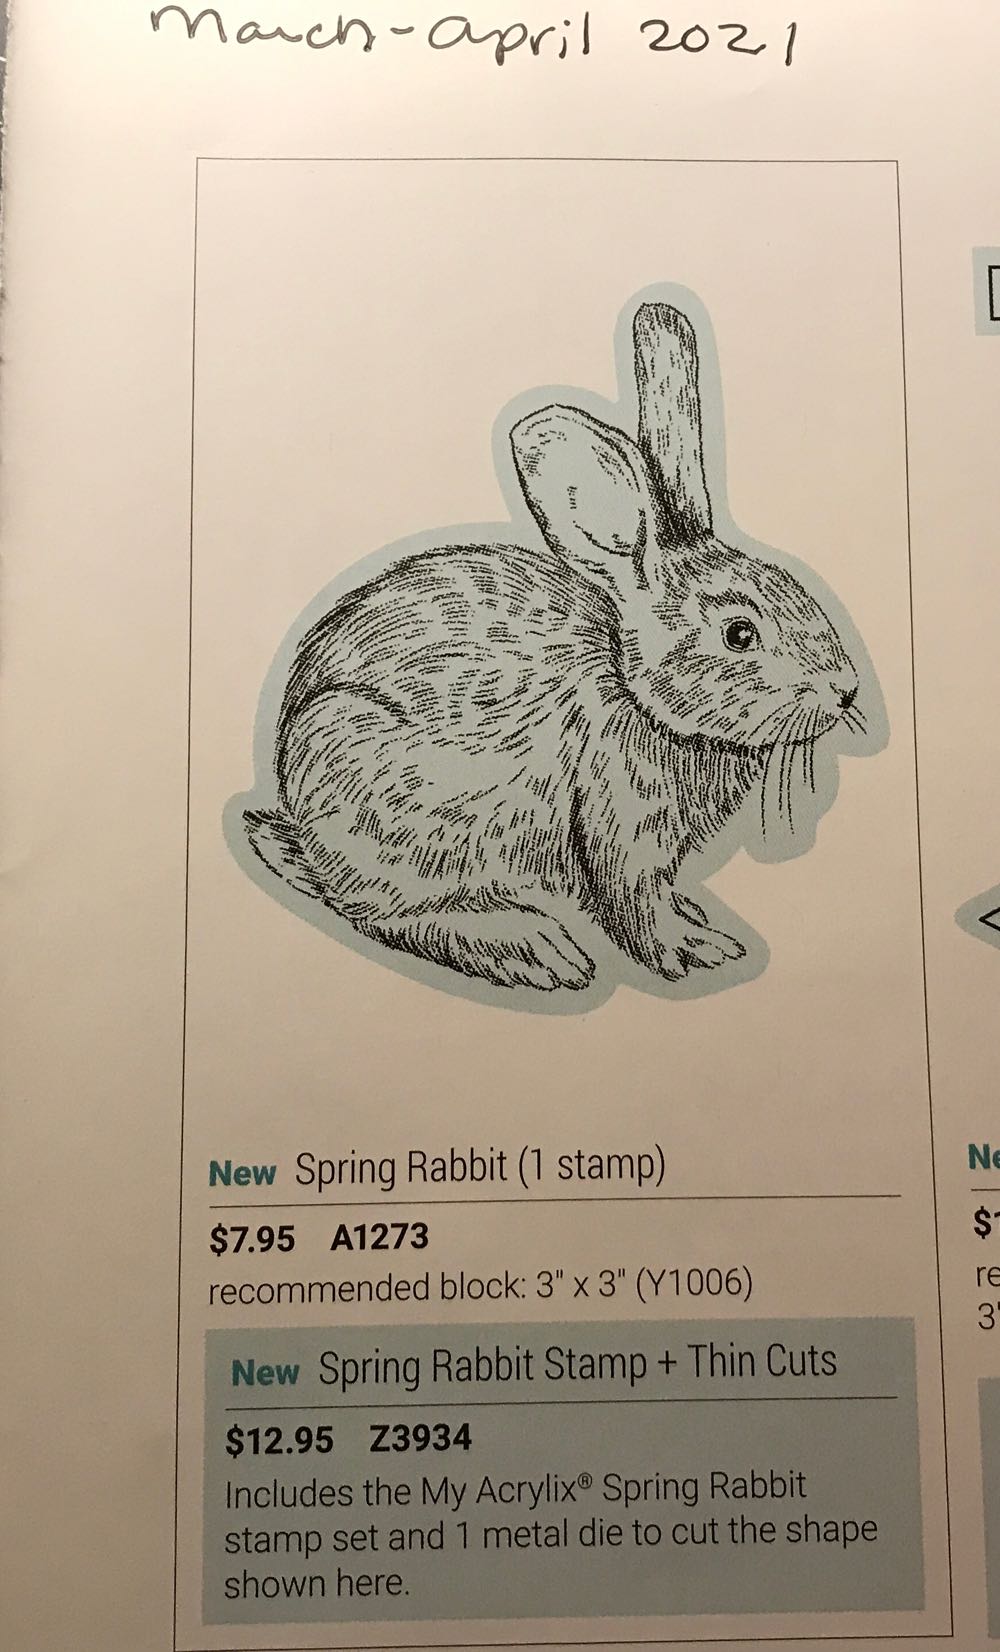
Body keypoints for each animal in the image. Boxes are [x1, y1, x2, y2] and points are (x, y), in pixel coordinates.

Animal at [243, 300, 862, 992]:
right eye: (740, 633)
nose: (846, 689)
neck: (636, 692)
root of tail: (297, 823)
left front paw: (696, 921)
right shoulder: (617, 826)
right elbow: (636, 906)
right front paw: (695, 951)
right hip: (390, 811)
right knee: (391, 914)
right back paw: (532, 947)